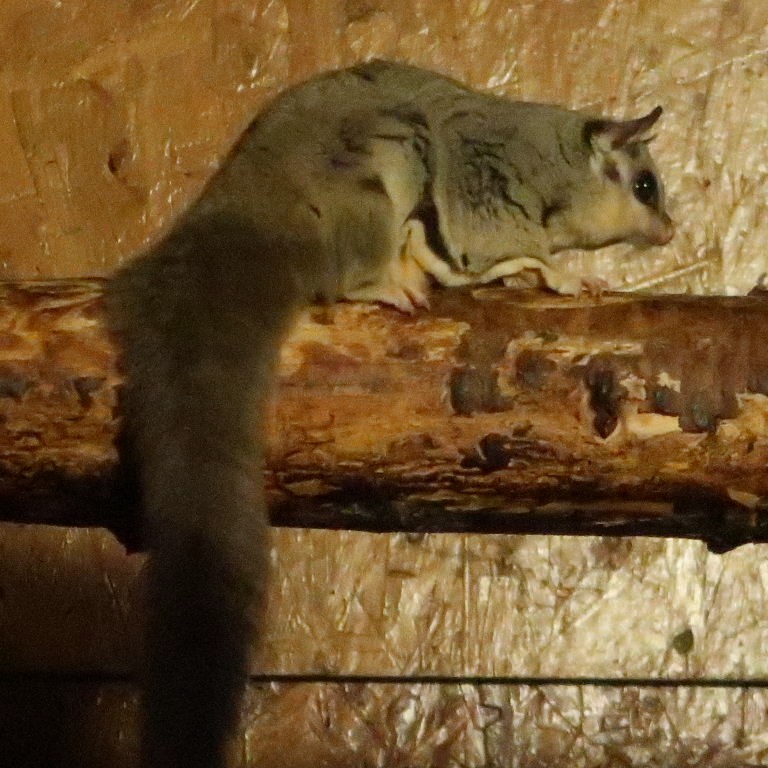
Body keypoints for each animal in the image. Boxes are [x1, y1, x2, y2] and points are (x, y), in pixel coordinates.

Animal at [105, 59, 673, 768]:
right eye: (646, 186)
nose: (670, 229)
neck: (558, 167)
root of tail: (242, 213)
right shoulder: (485, 185)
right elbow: (492, 242)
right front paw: (558, 276)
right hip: (371, 173)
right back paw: (388, 278)